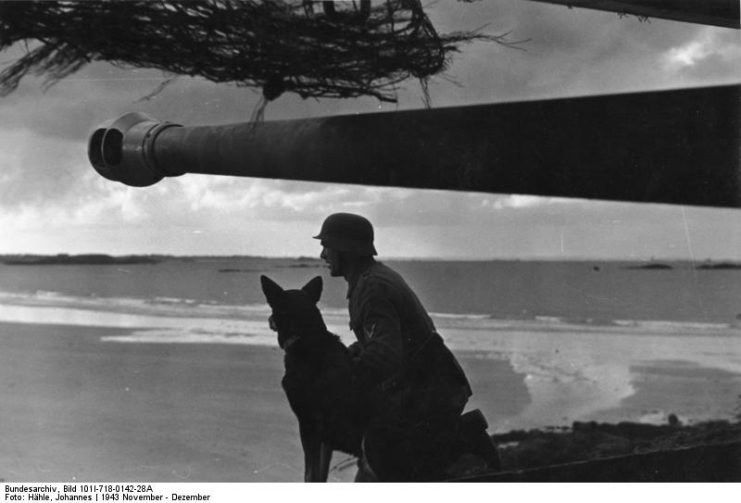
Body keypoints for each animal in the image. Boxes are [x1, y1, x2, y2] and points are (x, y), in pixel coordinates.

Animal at [260, 276, 364, 484]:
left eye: (273, 306)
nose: (268, 319)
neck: (305, 338)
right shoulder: (324, 438)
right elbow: (319, 474)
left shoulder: (309, 424)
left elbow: (310, 474)